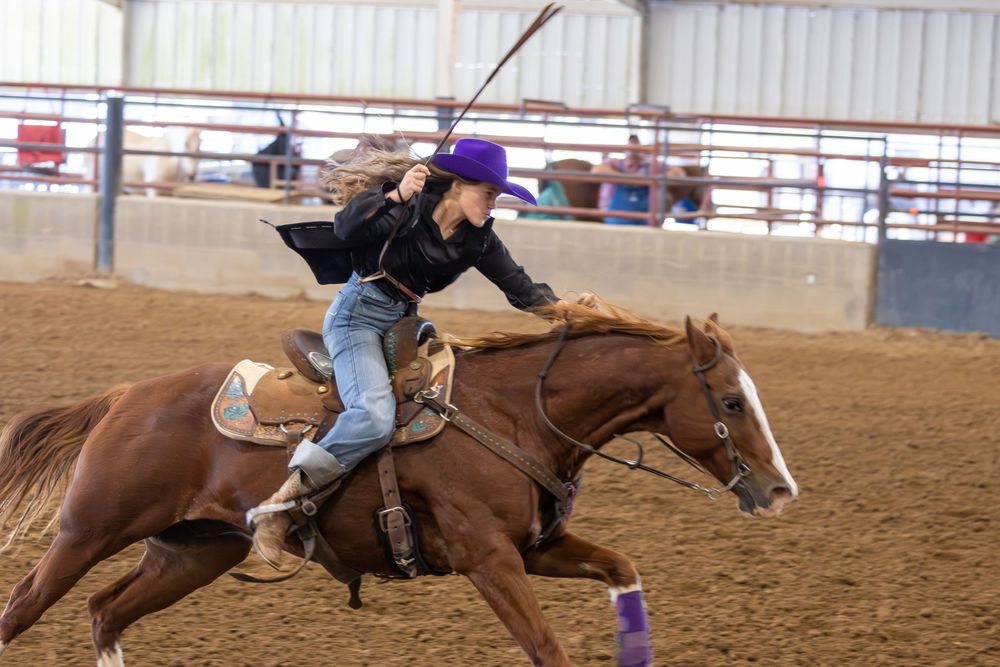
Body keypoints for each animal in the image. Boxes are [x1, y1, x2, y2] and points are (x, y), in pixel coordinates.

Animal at [0, 304, 797, 666]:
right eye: (731, 401)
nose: (780, 489)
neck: (510, 412)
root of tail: (123, 395)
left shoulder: (538, 548)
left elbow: (623, 568)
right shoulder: (490, 559)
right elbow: (546, 647)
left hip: (192, 551)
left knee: (106, 611)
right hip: (88, 530)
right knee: (25, 605)